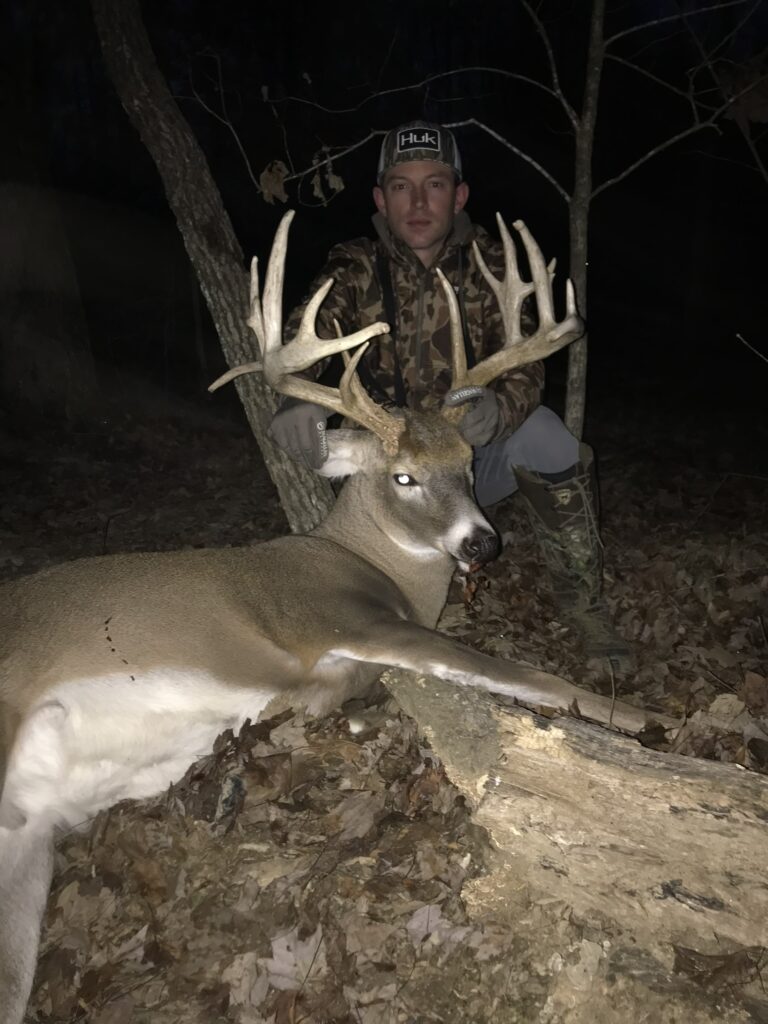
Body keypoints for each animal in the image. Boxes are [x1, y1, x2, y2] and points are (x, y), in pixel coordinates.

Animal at [0, 210, 676, 1024]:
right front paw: (647, 721)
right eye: (404, 477)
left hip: (26, 848)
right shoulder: (341, 619)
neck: (372, 564)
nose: (480, 542)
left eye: (465, 462)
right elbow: (520, 673)